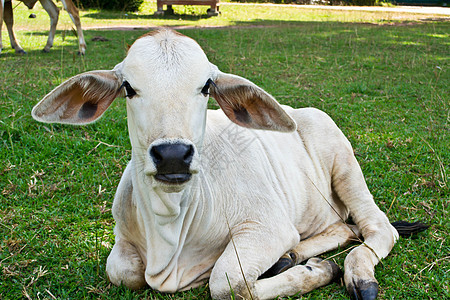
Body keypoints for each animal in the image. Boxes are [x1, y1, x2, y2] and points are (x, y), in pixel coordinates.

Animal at [30, 28, 426, 300]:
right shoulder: (123, 241)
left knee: (377, 229)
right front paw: (301, 264)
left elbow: (227, 284)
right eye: (128, 87)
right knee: (343, 228)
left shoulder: (266, 227)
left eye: (206, 86)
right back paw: (291, 256)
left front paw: (318, 272)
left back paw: (355, 275)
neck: (170, 228)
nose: (172, 154)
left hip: (346, 167)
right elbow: (121, 270)